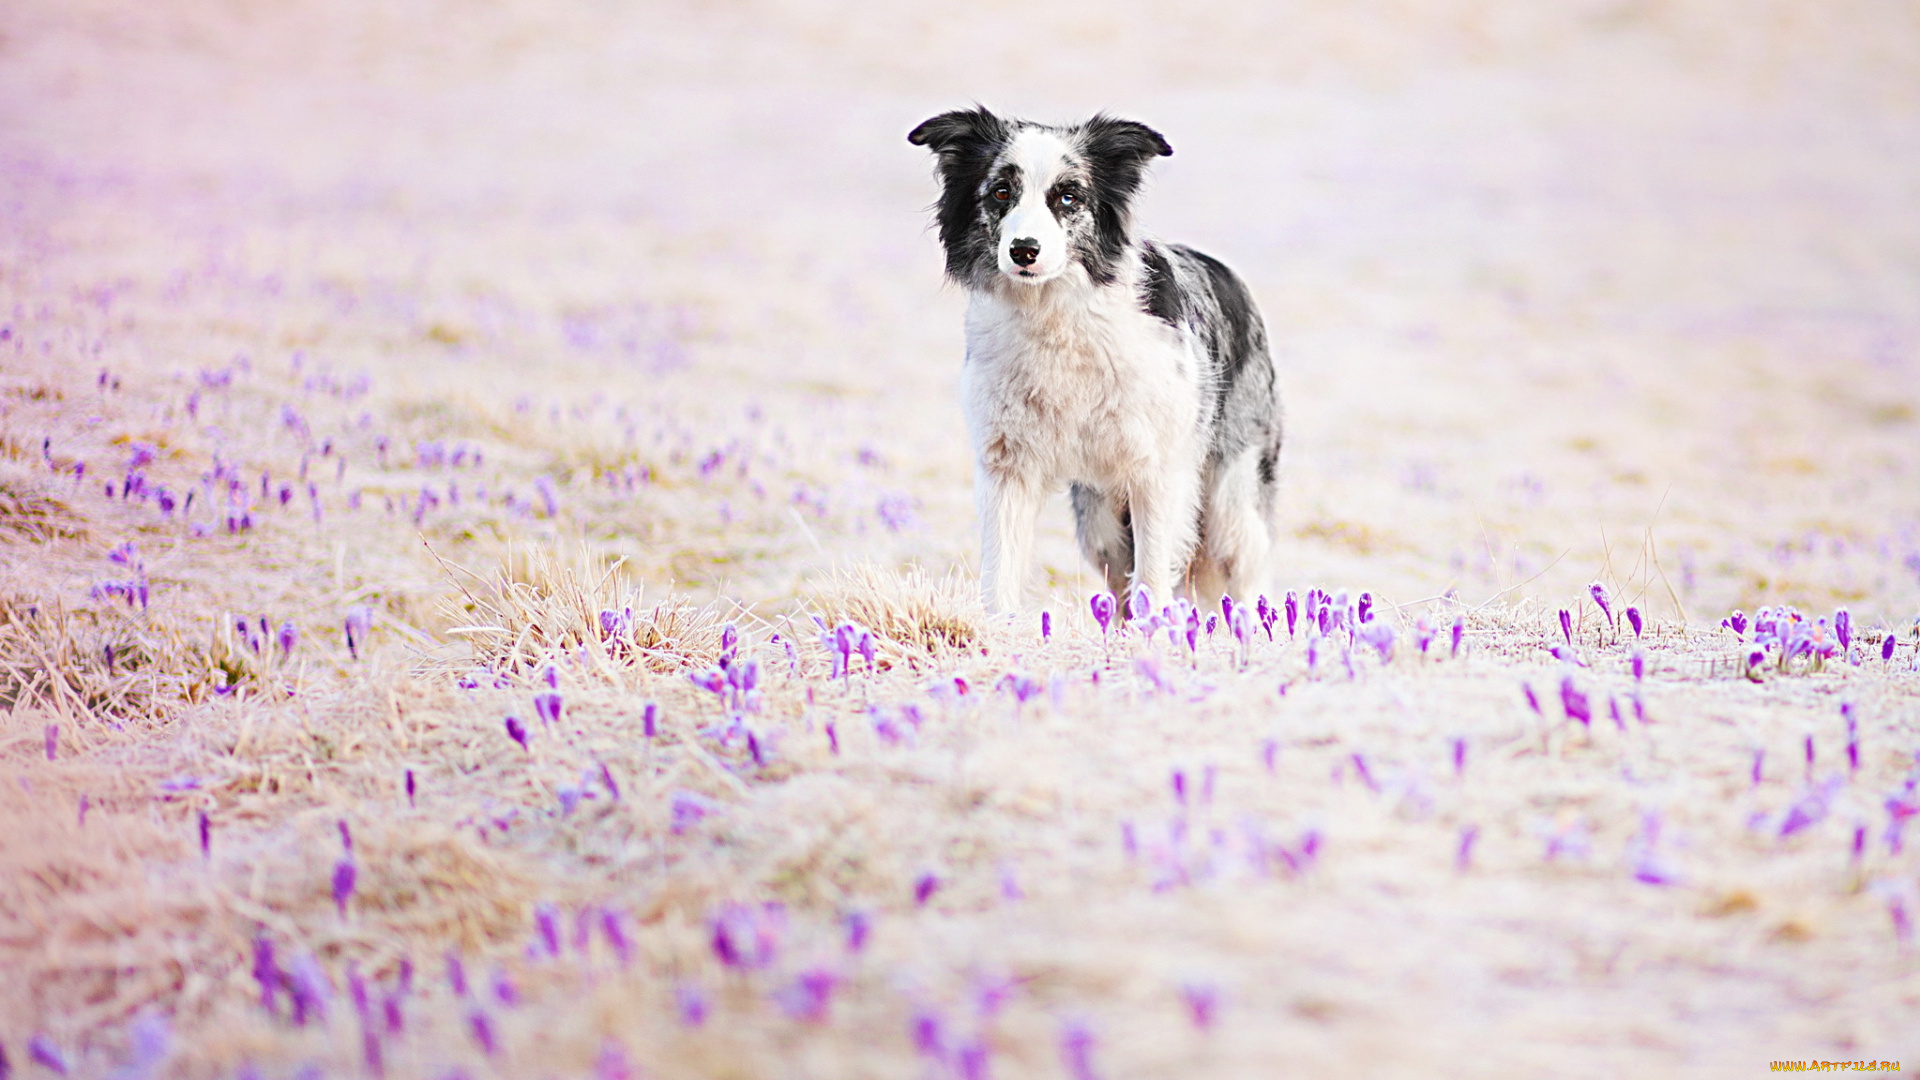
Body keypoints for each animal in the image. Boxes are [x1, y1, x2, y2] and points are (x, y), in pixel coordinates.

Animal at [906, 111, 1282, 614]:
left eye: (1069, 196)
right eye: (1001, 191)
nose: (1024, 250)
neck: (1055, 316)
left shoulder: (1157, 472)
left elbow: (1153, 578)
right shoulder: (1006, 467)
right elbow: (1000, 575)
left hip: (1232, 507)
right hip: (1101, 521)